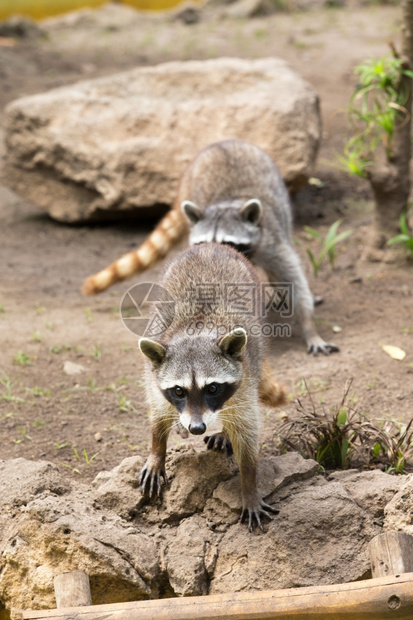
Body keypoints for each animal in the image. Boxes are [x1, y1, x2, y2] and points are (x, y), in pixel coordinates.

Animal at [82, 139, 336, 356]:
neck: (229, 203)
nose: (214, 255)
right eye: (204, 242)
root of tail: (223, 142)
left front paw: (310, 327)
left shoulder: (272, 243)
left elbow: (294, 281)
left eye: (228, 242)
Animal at [138, 241, 284, 528]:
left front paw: (249, 485)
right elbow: (158, 412)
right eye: (179, 390)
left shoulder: (245, 379)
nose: (196, 428)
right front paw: (157, 449)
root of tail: (210, 244)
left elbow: (246, 431)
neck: (197, 332)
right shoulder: (154, 376)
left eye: (213, 388)